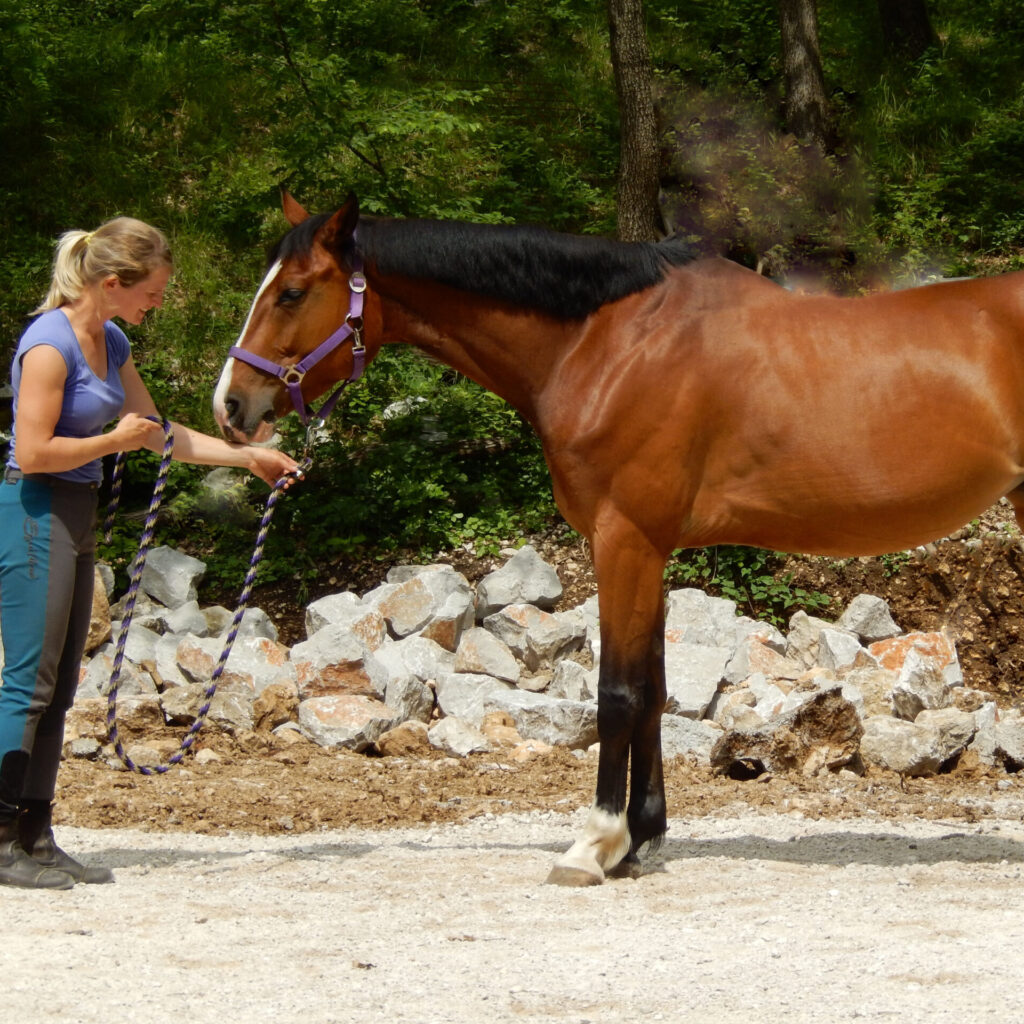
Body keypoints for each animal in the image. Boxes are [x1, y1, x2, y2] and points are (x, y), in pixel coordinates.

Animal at [213, 191, 1024, 886]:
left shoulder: (623, 539)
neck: (608, 341)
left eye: (292, 292)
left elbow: (618, 692)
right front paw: (641, 838)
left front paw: (594, 842)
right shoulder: (653, 549)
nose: (230, 406)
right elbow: (654, 688)